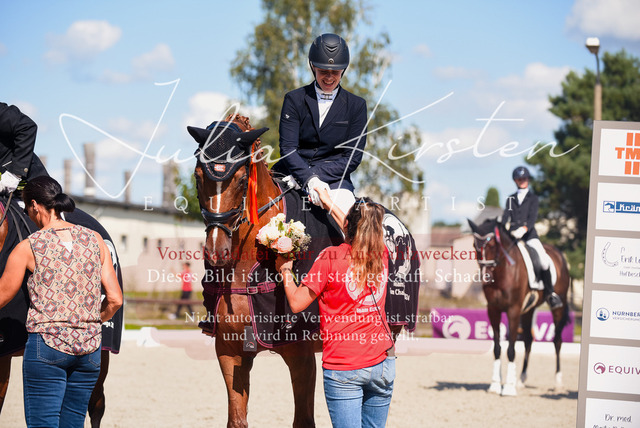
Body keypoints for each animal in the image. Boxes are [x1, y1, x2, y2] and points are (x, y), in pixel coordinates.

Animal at [189, 114, 420, 427]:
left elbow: (304, 419)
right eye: (198, 176)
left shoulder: (301, 355)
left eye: (240, 180)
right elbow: (237, 419)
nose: (216, 251)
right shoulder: (229, 351)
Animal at [467, 217, 570, 396]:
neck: (503, 272)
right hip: (528, 310)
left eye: (492, 244)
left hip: (558, 307)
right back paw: (521, 380)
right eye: (475, 246)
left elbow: (511, 349)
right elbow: (497, 348)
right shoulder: (493, 310)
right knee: (528, 340)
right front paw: (495, 385)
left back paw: (558, 383)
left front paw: (508, 387)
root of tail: (558, 253)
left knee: (557, 340)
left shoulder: (513, 310)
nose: (486, 277)